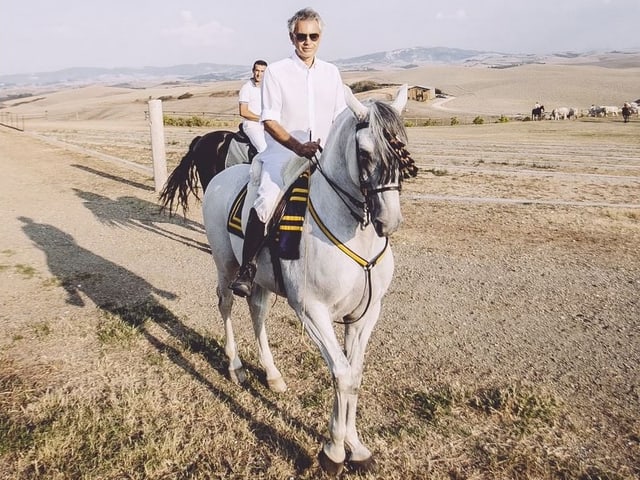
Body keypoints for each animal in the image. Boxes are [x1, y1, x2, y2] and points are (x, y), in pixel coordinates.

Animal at [201, 84, 416, 474]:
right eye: (365, 153)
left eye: (402, 148)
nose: (389, 222)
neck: (353, 231)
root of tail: (221, 177)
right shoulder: (312, 311)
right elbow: (341, 374)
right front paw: (334, 452)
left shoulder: (364, 316)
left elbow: (352, 375)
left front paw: (355, 446)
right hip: (225, 266)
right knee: (226, 304)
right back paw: (236, 367)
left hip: (261, 280)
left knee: (257, 312)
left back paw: (272, 374)